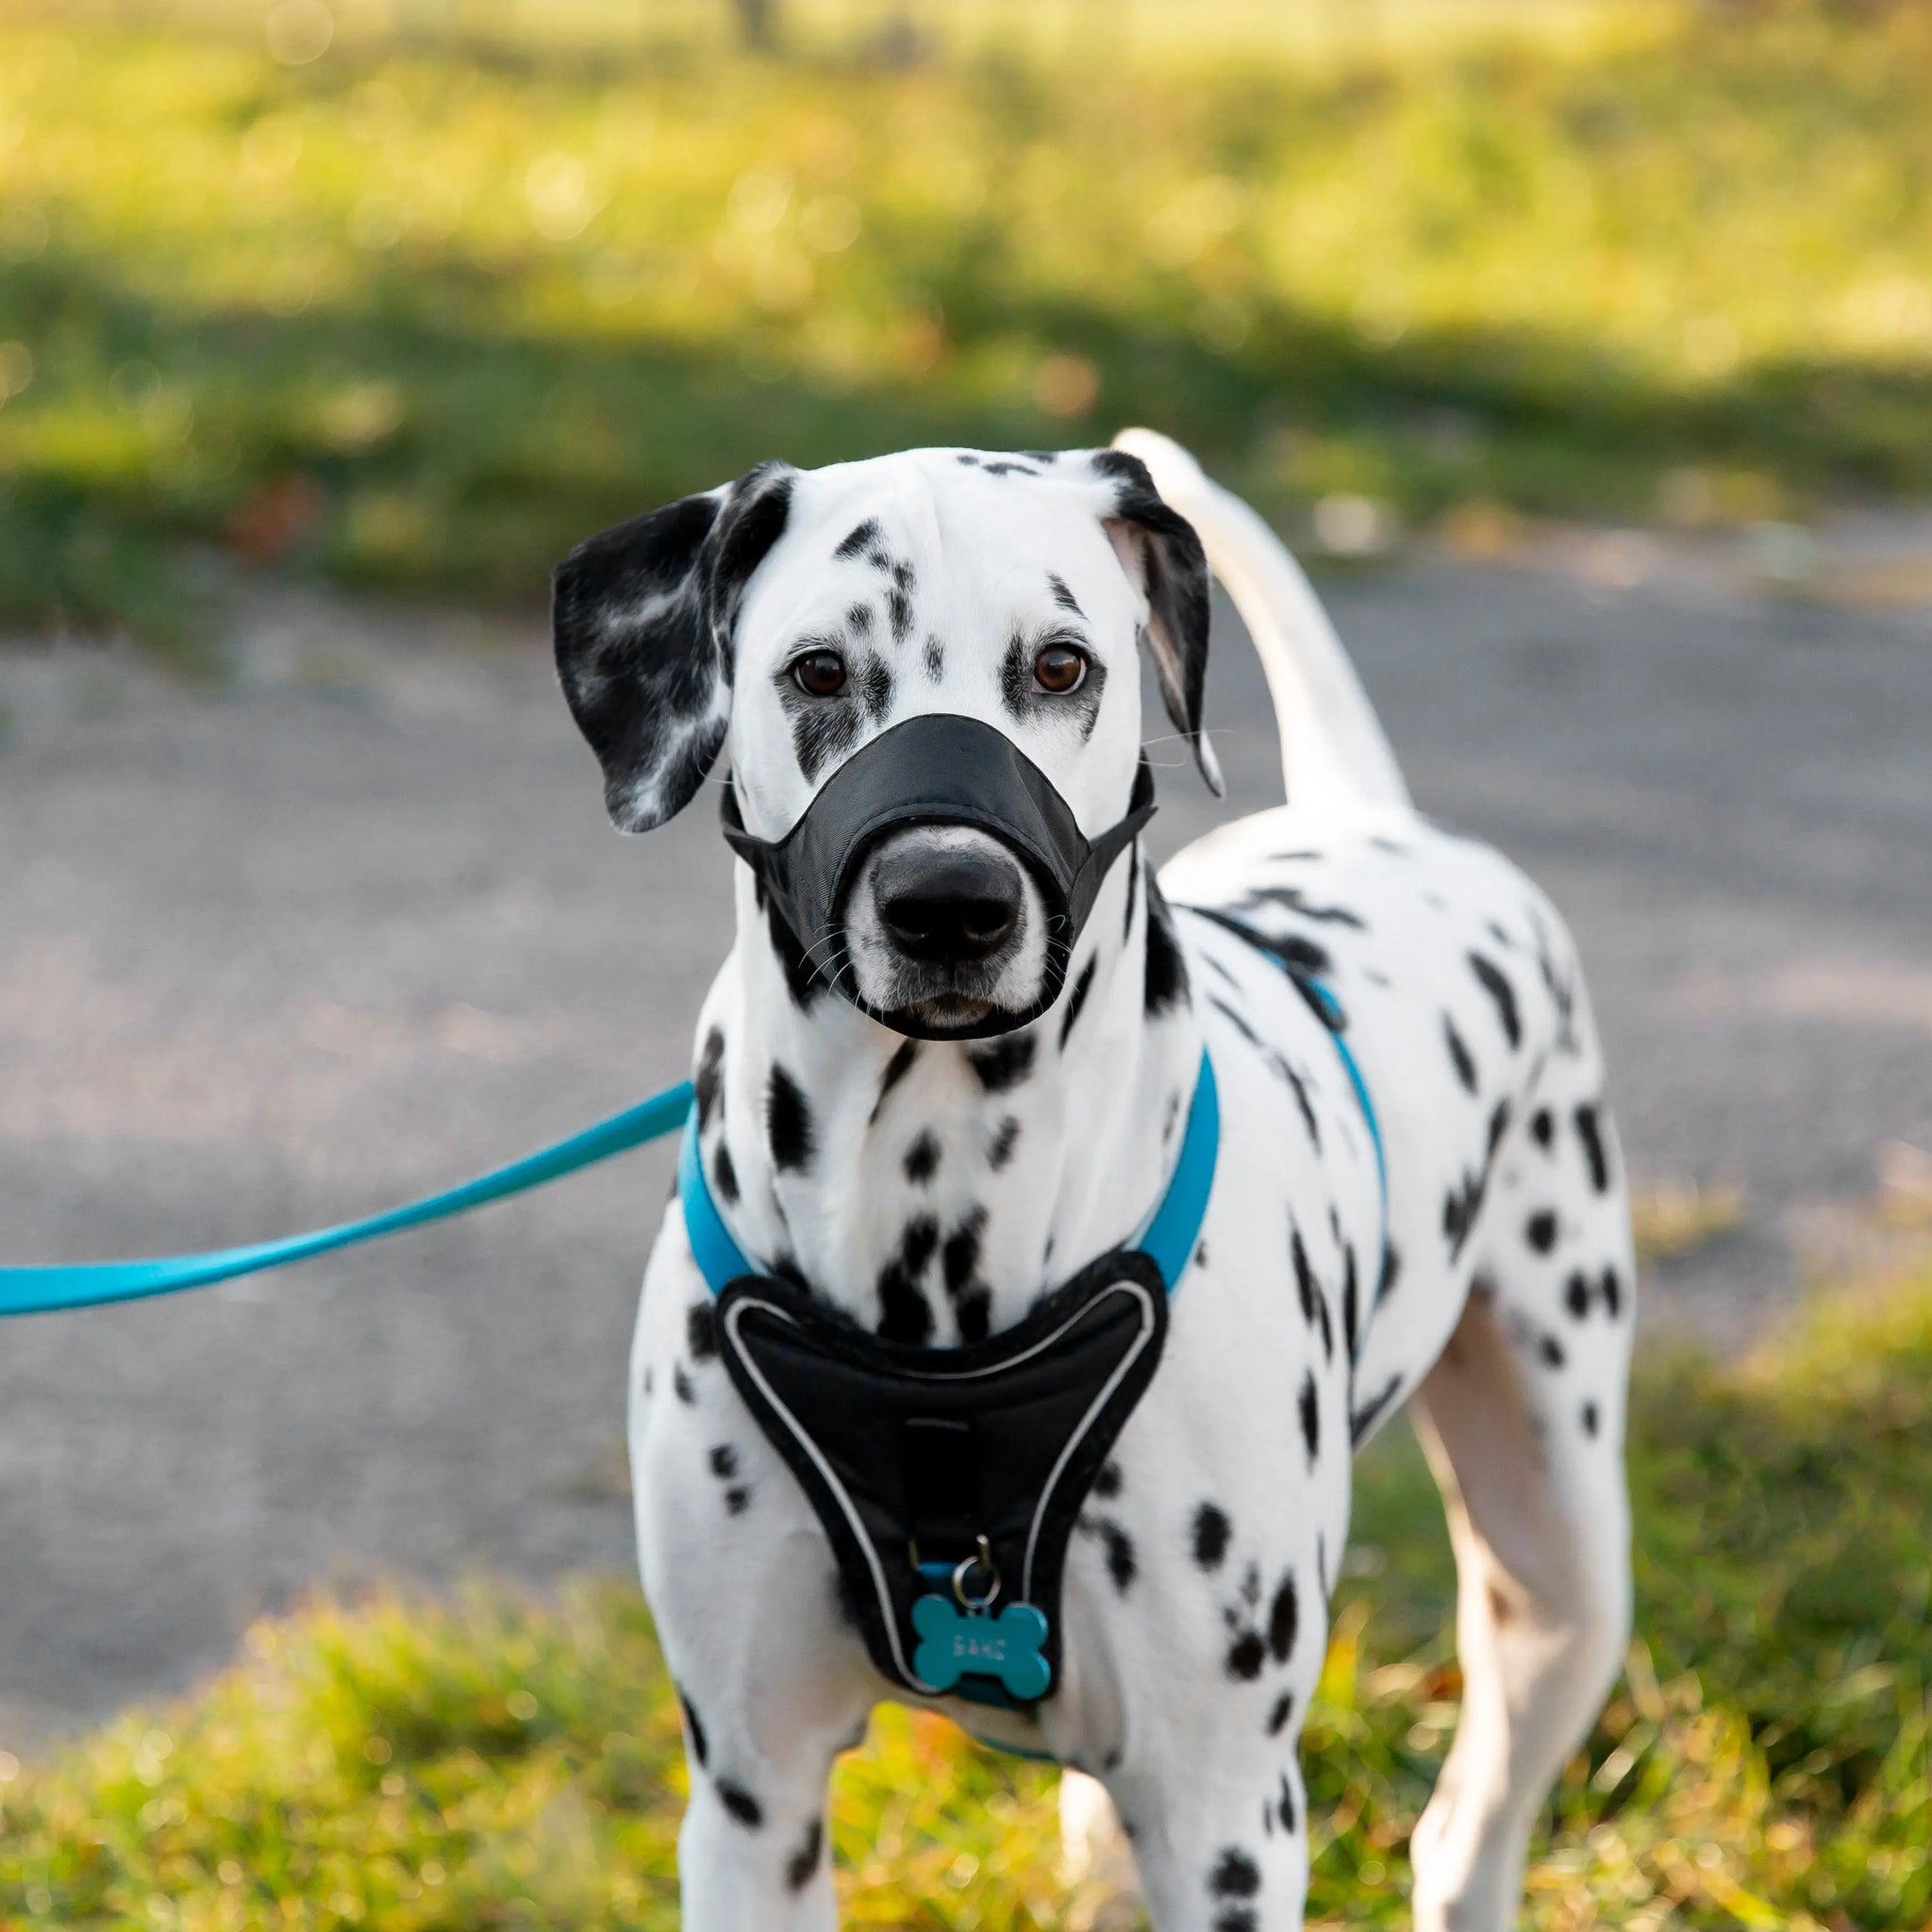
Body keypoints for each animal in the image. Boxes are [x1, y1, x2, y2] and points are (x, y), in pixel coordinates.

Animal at [556, 434, 1630, 1932]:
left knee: (1467, 1828)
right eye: (817, 671)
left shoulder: (1226, 1819)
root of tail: (1372, 817)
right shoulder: (750, 1797)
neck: (937, 1237)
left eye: (1062, 665)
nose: (948, 900)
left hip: (1561, 1562)